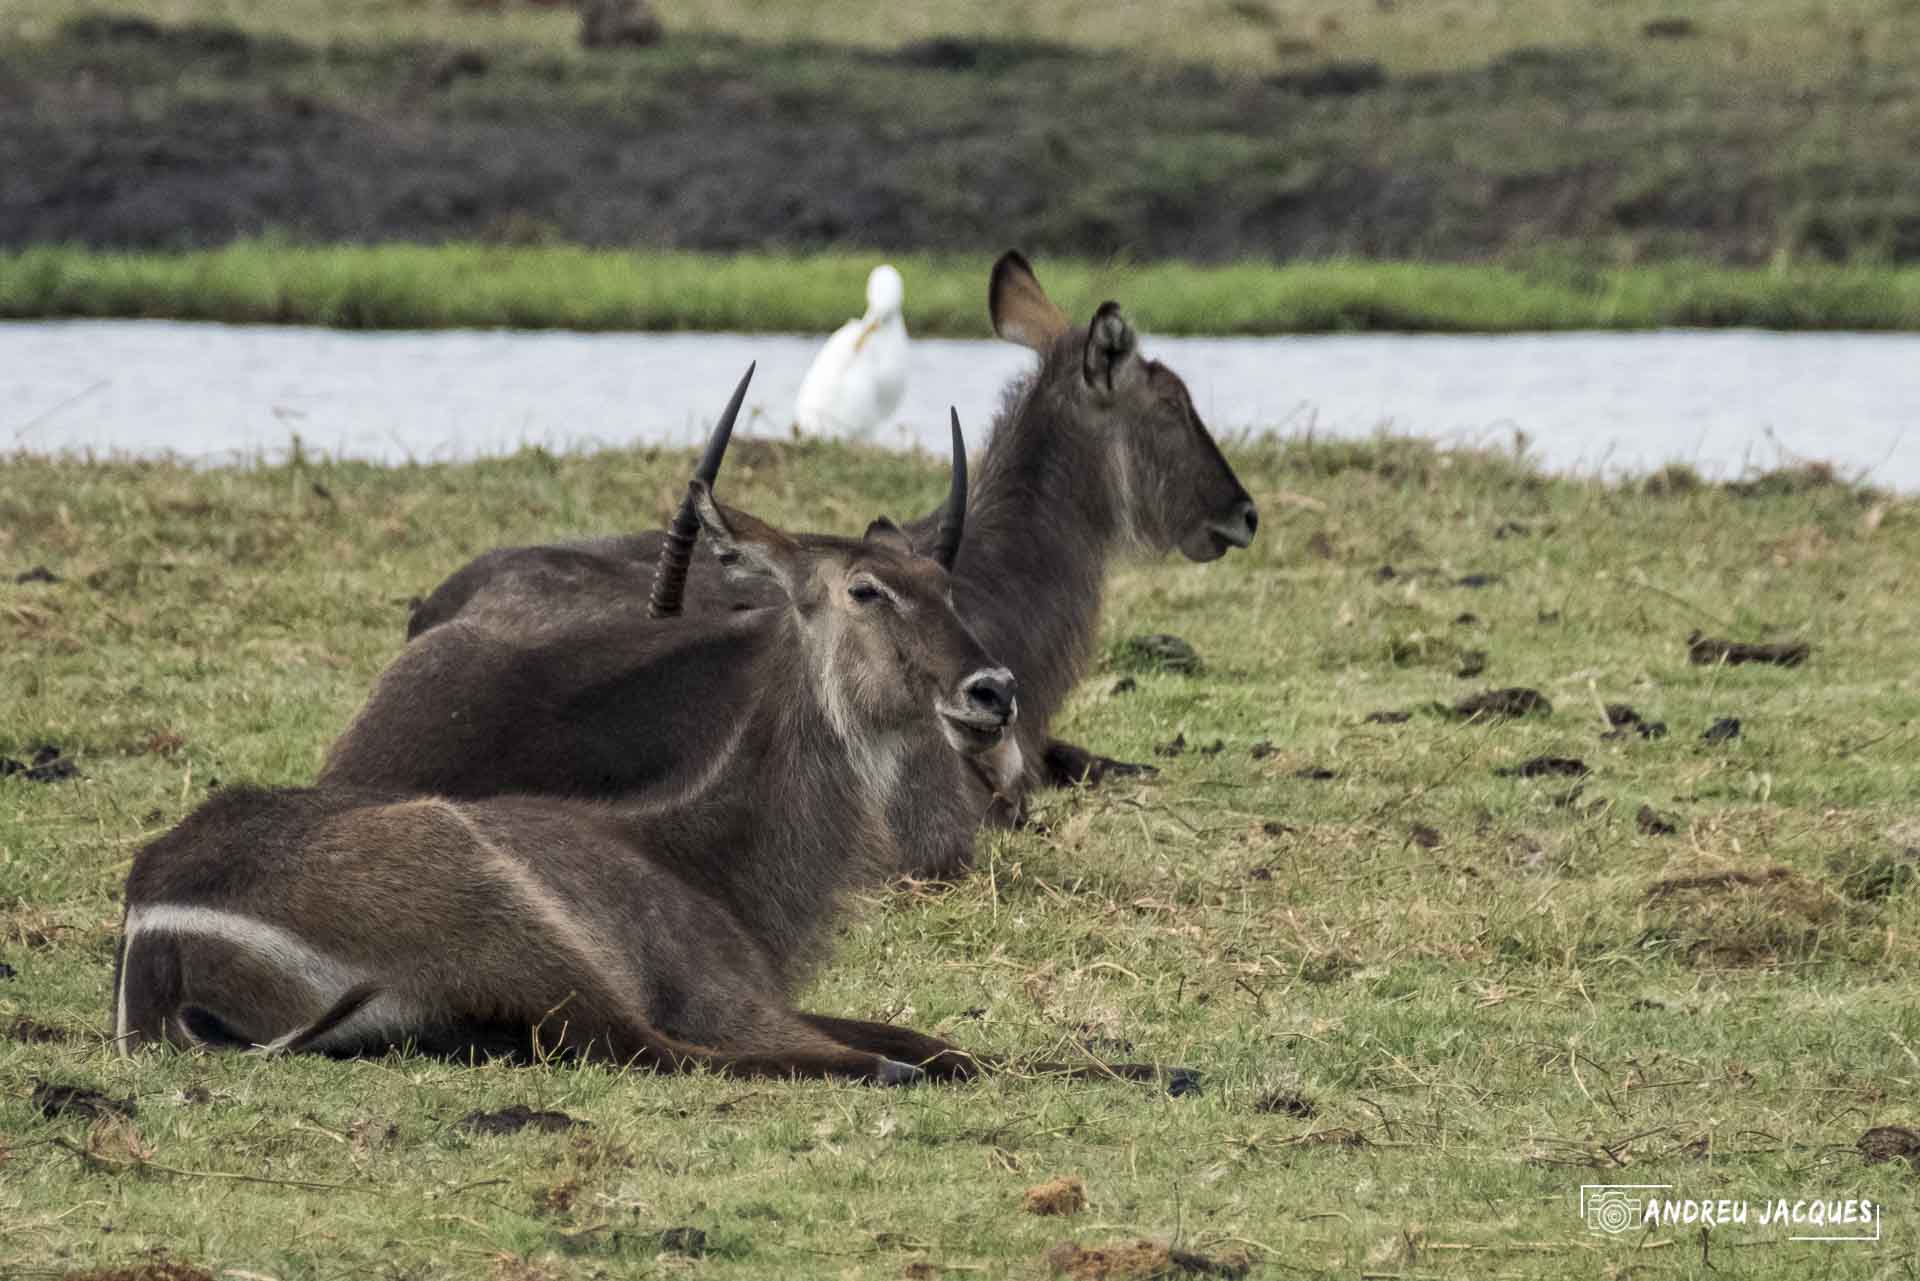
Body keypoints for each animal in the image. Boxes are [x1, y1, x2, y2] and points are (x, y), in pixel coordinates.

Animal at [112, 483, 1090, 1083]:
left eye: (942, 582)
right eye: (865, 589)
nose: (993, 690)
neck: (713, 865)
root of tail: (158, 925)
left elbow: (948, 1038)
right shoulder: (726, 1002)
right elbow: (928, 1045)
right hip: (506, 914)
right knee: (647, 1047)